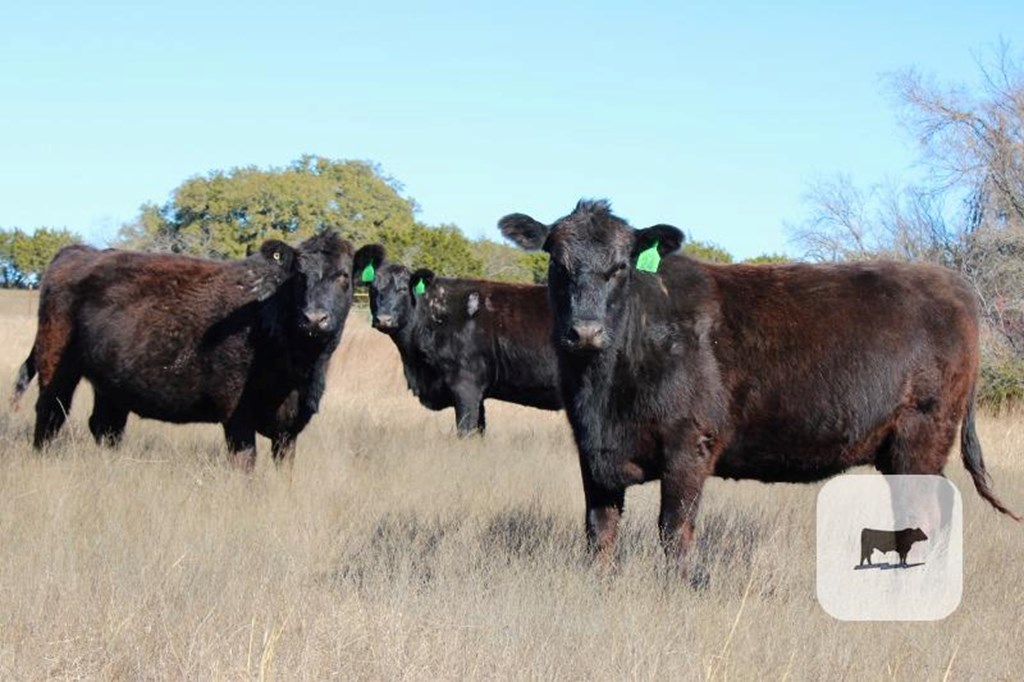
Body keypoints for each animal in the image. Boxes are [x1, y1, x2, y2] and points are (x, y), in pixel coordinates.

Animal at [9, 228, 356, 466]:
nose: (315, 318)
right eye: (298, 277)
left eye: (344, 276)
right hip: (56, 365)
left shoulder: (290, 428)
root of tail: (78, 252)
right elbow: (245, 464)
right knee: (50, 415)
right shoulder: (237, 416)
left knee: (105, 427)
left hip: (111, 384)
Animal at [499, 200, 1019, 569]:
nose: (585, 331)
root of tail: (953, 284)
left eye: (621, 266)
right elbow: (599, 532)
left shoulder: (690, 444)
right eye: (557, 263)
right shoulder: (594, 452)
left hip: (922, 437)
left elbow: (675, 531)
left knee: (923, 516)